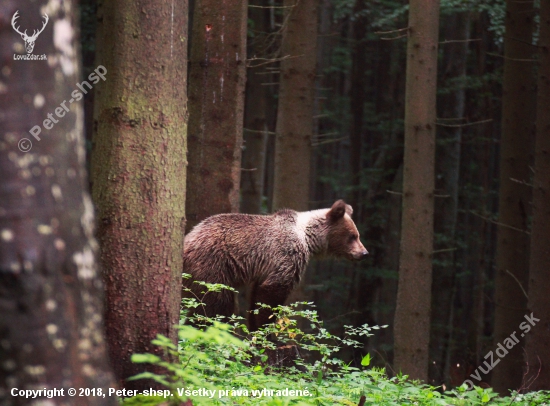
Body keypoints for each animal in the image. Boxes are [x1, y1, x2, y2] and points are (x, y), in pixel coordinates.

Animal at [183, 200, 368, 330]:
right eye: (352, 236)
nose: (364, 253)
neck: (307, 237)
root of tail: (187, 239)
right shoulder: (287, 253)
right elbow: (273, 292)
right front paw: (266, 328)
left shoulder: (266, 269)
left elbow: (257, 297)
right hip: (213, 265)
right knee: (214, 301)